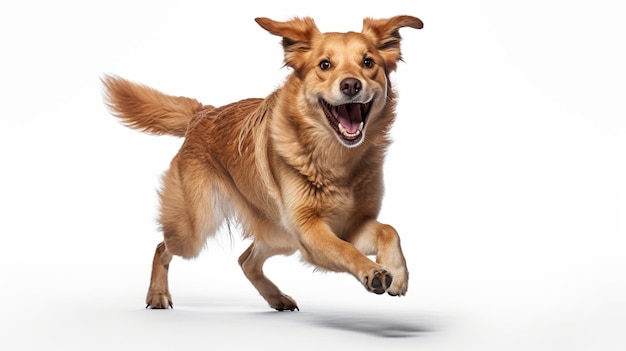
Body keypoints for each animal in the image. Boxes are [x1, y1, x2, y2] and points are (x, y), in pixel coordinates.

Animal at [102, 15, 422, 310]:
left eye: (368, 62)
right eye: (324, 65)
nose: (351, 85)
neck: (336, 159)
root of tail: (202, 115)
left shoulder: (352, 224)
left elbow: (389, 230)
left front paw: (397, 273)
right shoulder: (309, 230)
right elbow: (345, 250)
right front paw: (373, 271)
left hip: (279, 235)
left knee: (246, 260)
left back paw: (276, 298)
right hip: (195, 229)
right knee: (162, 246)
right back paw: (157, 294)